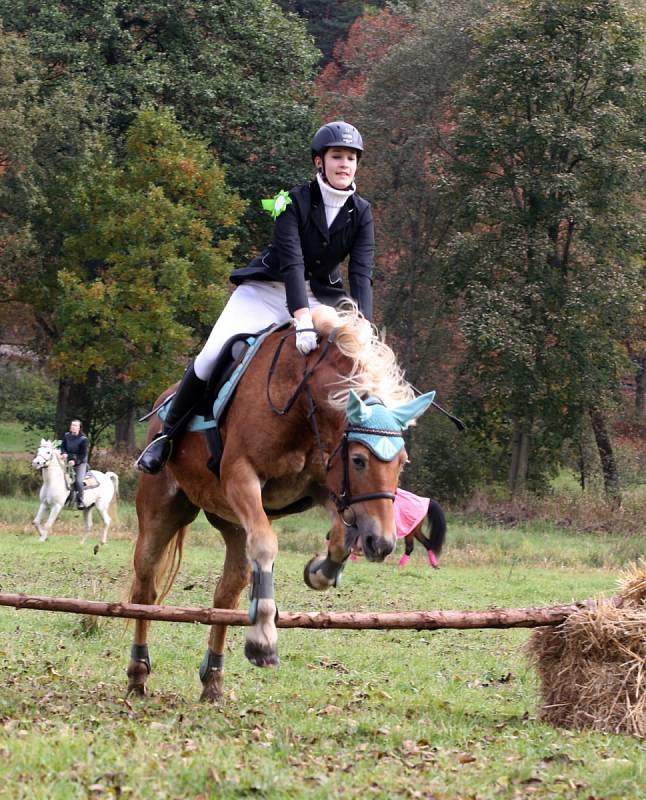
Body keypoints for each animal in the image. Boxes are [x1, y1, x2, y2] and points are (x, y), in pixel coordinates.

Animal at [127, 304, 436, 704]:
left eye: (402, 463)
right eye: (358, 461)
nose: (381, 543)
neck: (304, 405)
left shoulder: (324, 485)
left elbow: (340, 538)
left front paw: (320, 570)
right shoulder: (241, 478)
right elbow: (267, 544)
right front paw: (263, 641)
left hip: (231, 523)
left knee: (225, 594)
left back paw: (213, 679)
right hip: (161, 510)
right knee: (146, 586)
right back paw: (138, 672)